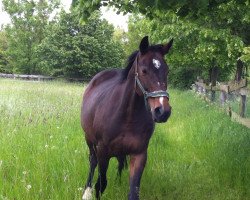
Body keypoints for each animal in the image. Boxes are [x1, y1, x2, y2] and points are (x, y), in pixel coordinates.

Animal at [81, 36, 173, 200]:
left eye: (167, 71)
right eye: (144, 70)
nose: (162, 111)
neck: (127, 116)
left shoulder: (139, 154)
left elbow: (133, 191)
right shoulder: (102, 152)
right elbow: (101, 184)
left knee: (119, 162)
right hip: (90, 140)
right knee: (92, 162)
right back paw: (87, 191)